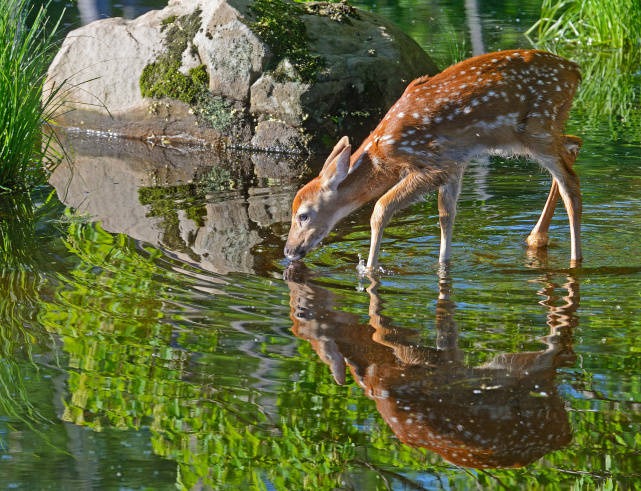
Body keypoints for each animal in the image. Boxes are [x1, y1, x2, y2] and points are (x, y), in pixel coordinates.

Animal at [282, 50, 584, 270]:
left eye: (303, 215)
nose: (289, 250)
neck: (383, 155)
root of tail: (576, 71)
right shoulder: (454, 162)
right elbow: (446, 214)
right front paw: (443, 262)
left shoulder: (433, 163)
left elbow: (381, 208)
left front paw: (369, 269)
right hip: (536, 132)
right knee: (573, 145)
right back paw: (536, 239)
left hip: (537, 128)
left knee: (570, 180)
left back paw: (575, 259)